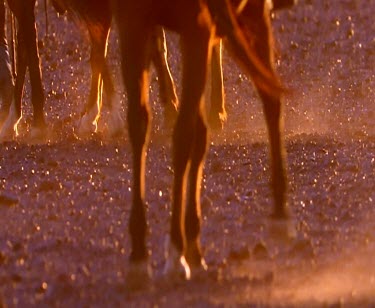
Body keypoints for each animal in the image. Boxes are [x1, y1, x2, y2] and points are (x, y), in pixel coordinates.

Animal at [113, 0, 296, 286]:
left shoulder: (196, 29)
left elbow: (183, 137)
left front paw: (175, 253)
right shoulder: (133, 22)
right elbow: (139, 125)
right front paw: (140, 255)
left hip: (249, 17)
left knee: (270, 100)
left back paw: (279, 214)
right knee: (201, 134)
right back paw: (194, 245)